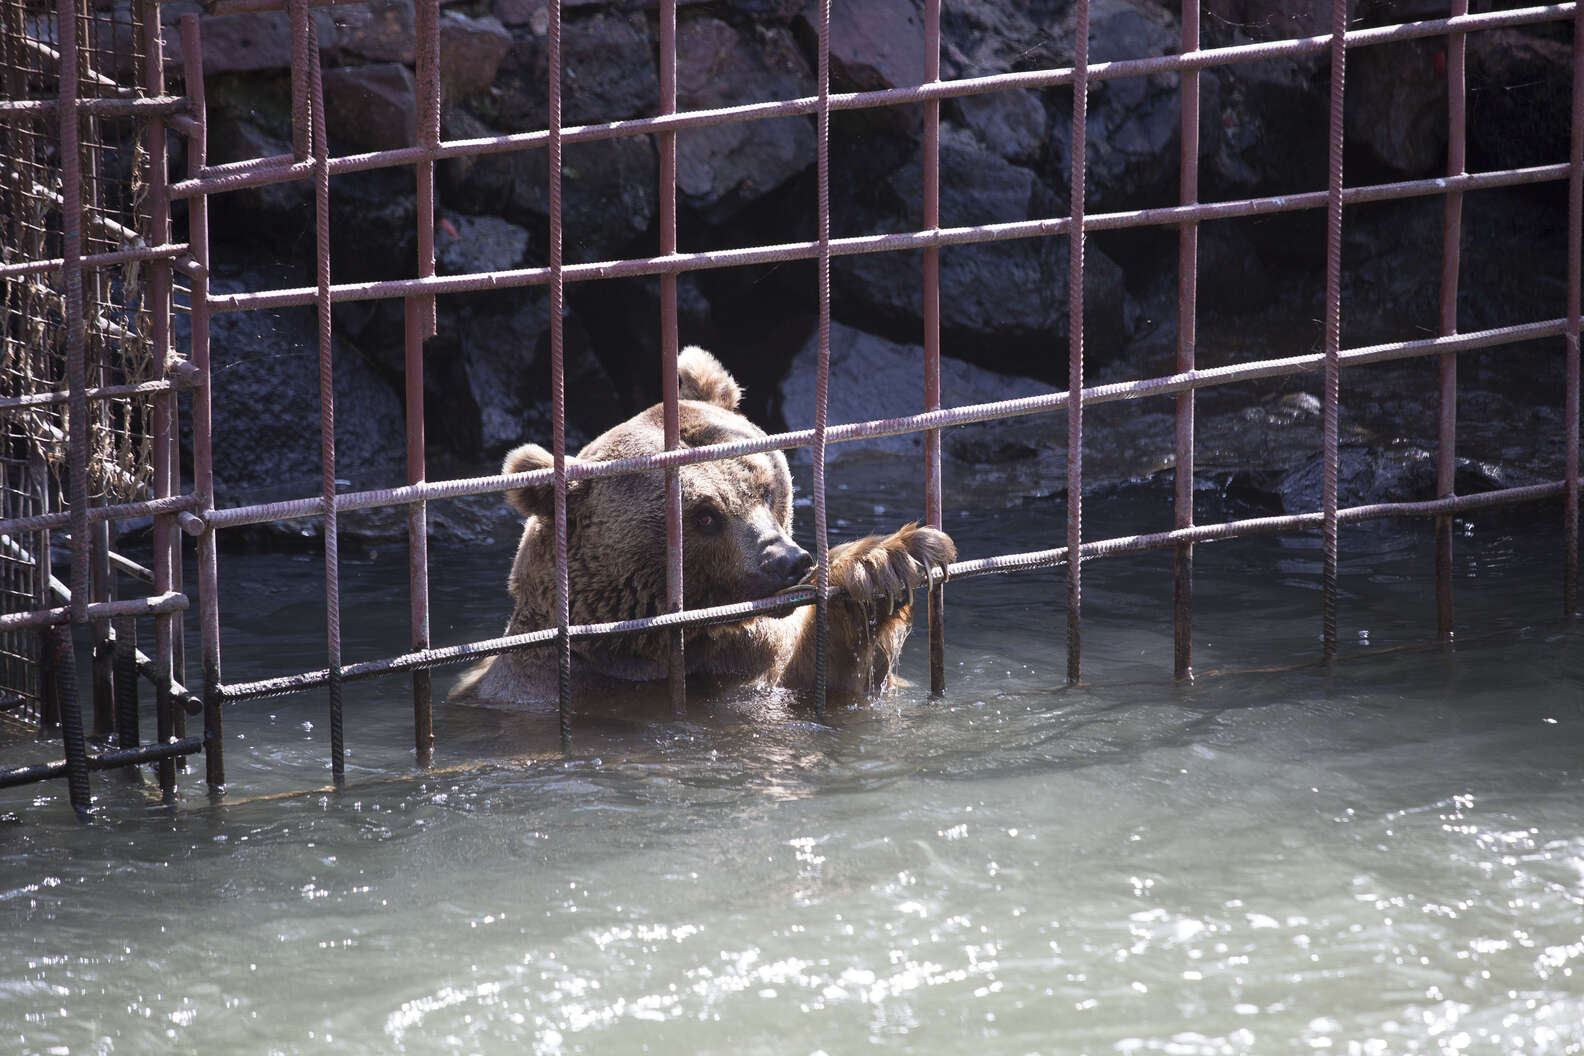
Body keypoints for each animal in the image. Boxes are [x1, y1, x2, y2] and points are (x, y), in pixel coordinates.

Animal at [452, 346, 956, 709]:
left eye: (764, 487)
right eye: (705, 516)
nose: (787, 561)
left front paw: (886, 564)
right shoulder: (566, 684)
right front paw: (880, 565)